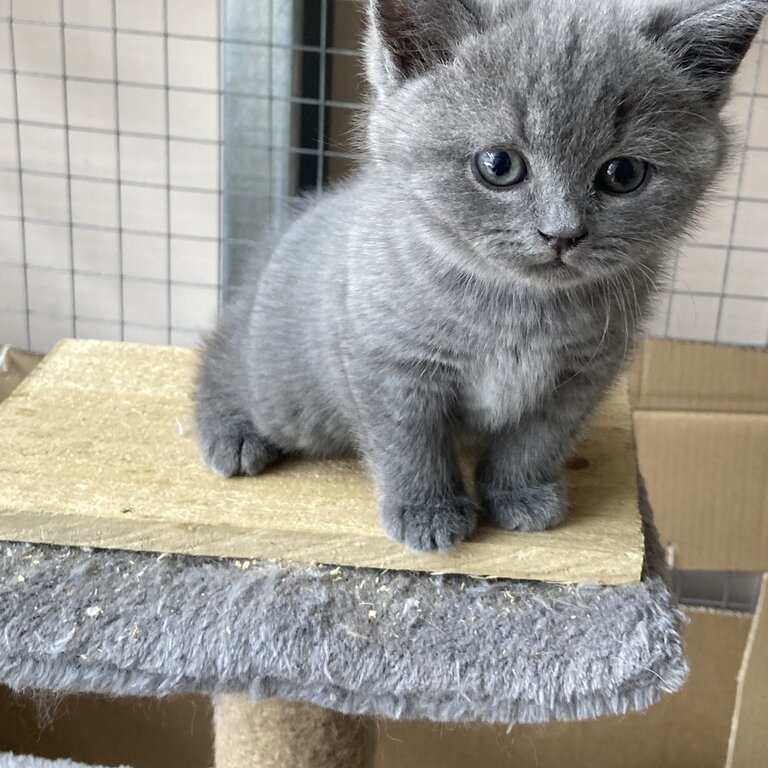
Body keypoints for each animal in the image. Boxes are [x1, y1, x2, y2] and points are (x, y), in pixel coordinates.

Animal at [196, 0, 760, 552]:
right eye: (498, 165)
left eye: (623, 174)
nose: (562, 234)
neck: (521, 309)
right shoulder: (392, 365)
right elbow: (409, 442)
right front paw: (426, 512)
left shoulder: (583, 374)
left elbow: (537, 440)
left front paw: (520, 495)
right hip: (287, 396)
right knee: (224, 352)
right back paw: (231, 433)